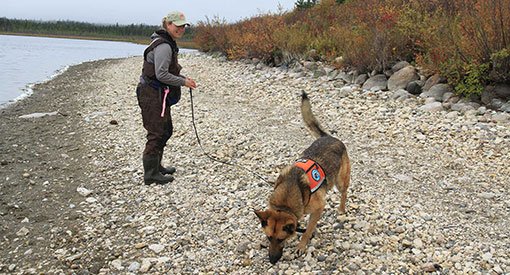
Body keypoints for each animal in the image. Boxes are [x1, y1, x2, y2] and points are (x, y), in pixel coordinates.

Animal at [255, 91, 350, 264]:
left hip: (341, 181)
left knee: (344, 193)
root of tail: (330, 137)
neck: (284, 204)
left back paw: (341, 210)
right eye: (269, 237)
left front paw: (301, 245)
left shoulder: (319, 207)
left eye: (281, 239)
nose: (272, 260)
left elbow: (308, 230)